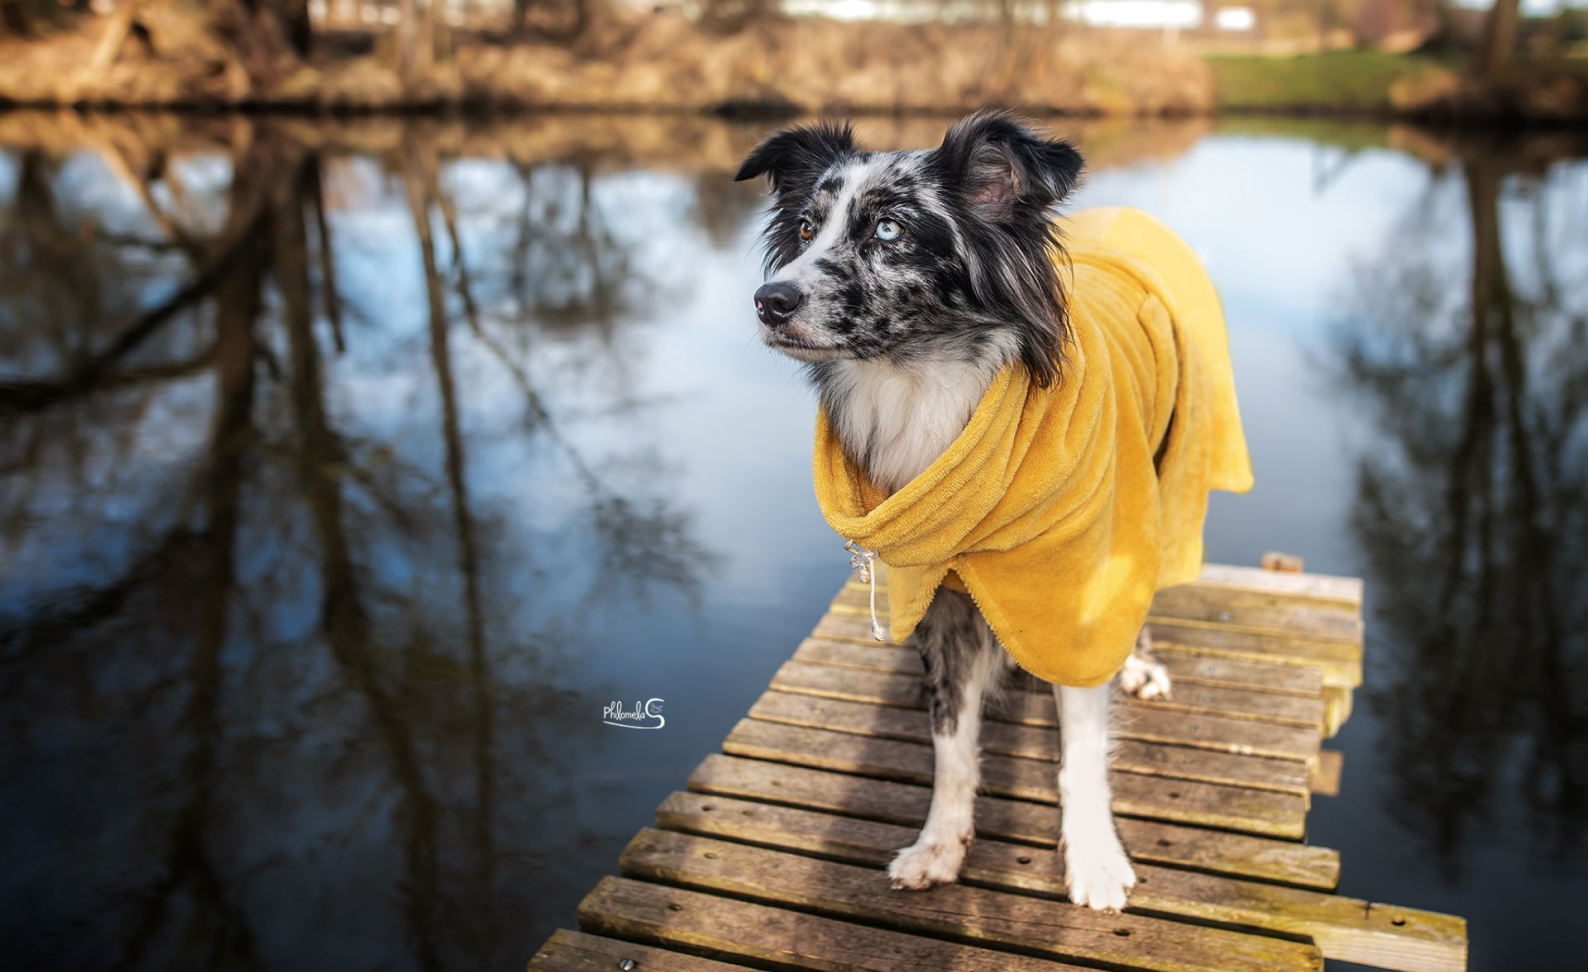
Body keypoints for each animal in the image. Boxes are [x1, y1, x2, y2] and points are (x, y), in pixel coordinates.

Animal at [733, 113, 1181, 908]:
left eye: (888, 229)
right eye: (807, 227)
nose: (768, 300)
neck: (926, 387)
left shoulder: (1076, 595)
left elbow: (1081, 750)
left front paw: (1095, 858)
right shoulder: (938, 601)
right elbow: (949, 741)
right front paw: (941, 845)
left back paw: (1142, 663)